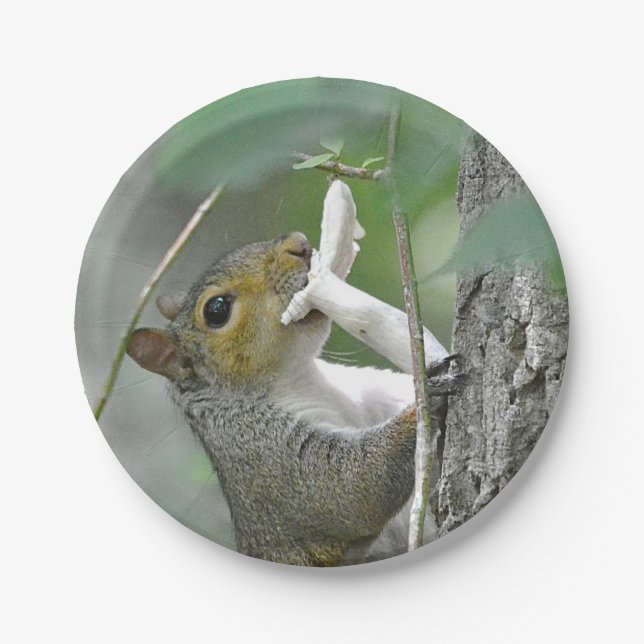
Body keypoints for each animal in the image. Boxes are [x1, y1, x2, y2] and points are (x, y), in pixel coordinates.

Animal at [127, 231, 455, 566]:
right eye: (216, 310)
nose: (298, 243)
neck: (302, 376)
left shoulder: (371, 392)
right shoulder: (262, 453)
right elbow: (348, 487)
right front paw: (425, 399)